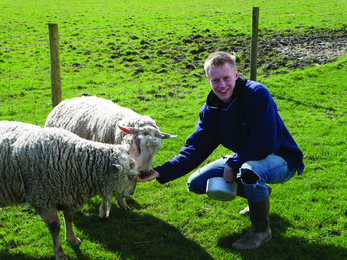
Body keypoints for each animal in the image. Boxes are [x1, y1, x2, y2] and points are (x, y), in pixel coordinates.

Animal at [0, 121, 139, 260]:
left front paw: (72, 239)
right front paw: (59, 253)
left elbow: (69, 218)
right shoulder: (42, 198)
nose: (131, 193)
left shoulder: (68, 194)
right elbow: (55, 227)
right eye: (130, 176)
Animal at [44, 95, 177, 217]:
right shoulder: (103, 167)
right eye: (138, 143)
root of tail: (69, 99)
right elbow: (105, 193)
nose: (145, 173)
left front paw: (123, 204)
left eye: (157, 149)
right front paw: (103, 211)